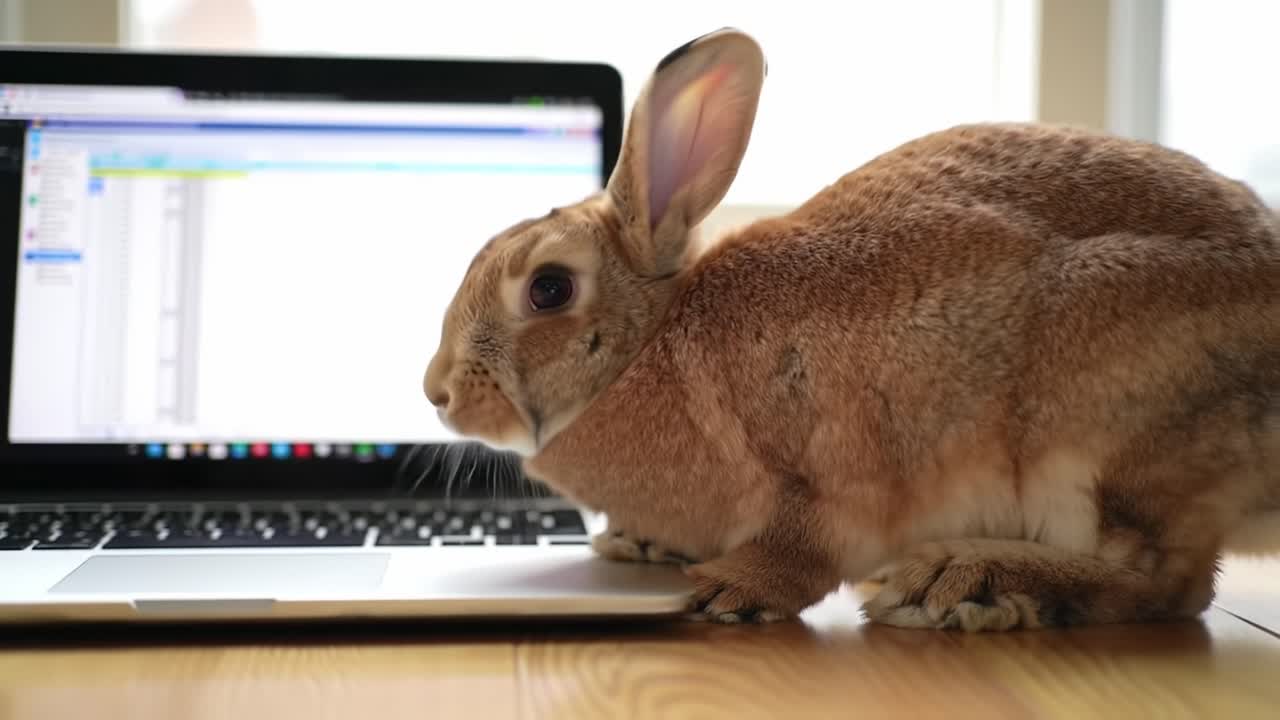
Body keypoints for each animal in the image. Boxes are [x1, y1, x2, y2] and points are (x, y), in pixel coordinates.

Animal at [422, 28, 1280, 631]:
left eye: (549, 288)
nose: (437, 392)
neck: (653, 346)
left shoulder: (826, 466)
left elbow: (805, 544)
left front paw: (730, 588)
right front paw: (636, 545)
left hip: (1104, 436)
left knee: (1169, 583)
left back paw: (959, 584)